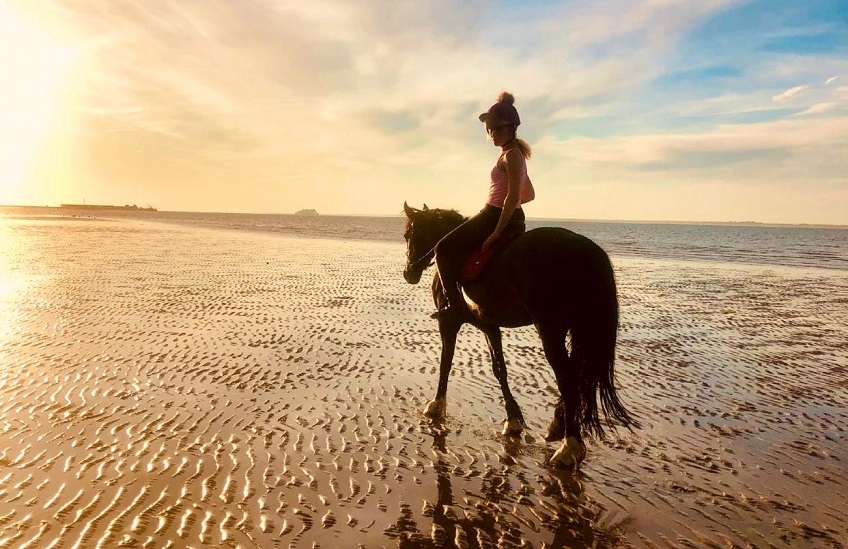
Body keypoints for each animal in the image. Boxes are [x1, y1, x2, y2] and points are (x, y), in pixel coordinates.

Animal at [402, 202, 636, 466]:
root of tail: (587, 251)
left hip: (550, 329)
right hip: (577, 329)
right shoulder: (489, 326)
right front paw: (513, 419)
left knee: (566, 377)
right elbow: (499, 369)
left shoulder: (449, 323)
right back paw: (558, 426)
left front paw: (435, 405)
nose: (408, 273)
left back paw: (568, 447)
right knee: (577, 375)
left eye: (408, 235)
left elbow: (445, 362)